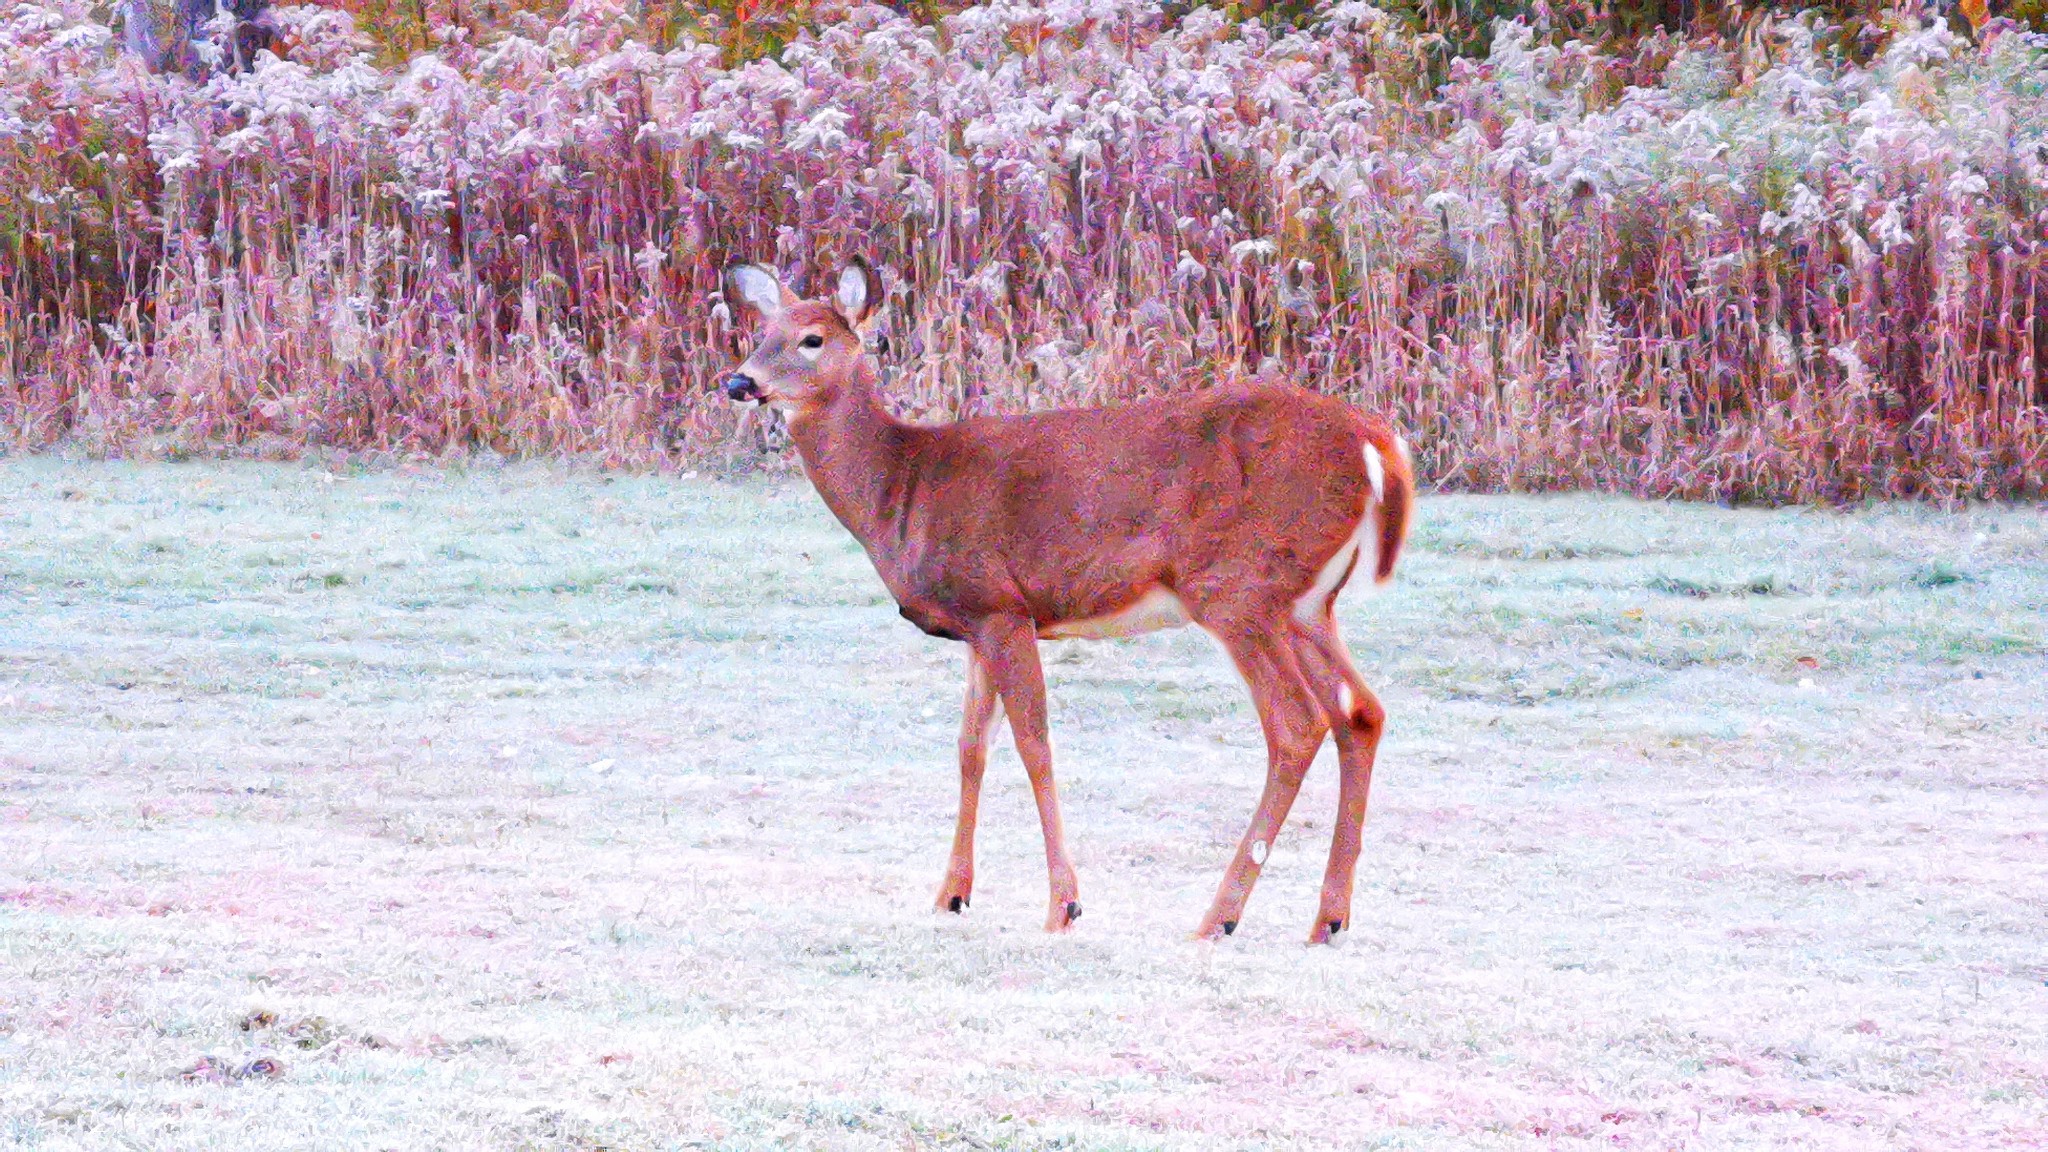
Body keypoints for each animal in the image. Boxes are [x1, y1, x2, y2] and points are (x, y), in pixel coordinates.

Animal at [720, 262, 1409, 942]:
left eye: (812, 339)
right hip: (1306, 605)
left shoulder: (1002, 606)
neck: (903, 488)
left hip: (1237, 589)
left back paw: (1220, 917)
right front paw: (951, 895)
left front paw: (1064, 904)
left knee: (1296, 723)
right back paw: (1329, 918)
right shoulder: (978, 624)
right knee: (1360, 713)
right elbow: (970, 749)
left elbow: (1033, 743)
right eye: (761, 333)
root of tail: (1374, 441)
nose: (738, 381)